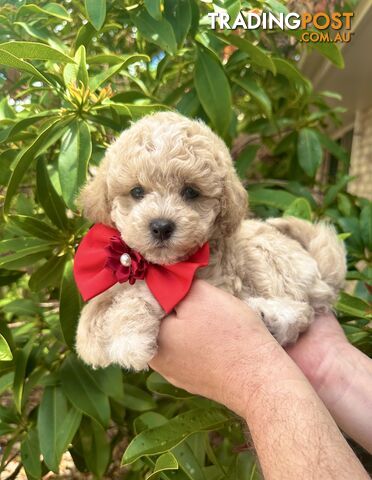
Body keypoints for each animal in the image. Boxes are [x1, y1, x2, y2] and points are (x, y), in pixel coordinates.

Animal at [75, 112, 346, 372]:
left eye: (191, 192)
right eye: (137, 191)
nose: (161, 226)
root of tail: (321, 272)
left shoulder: (214, 280)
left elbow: (141, 292)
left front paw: (130, 341)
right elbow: (97, 310)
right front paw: (101, 335)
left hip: (265, 257)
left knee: (303, 310)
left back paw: (270, 316)